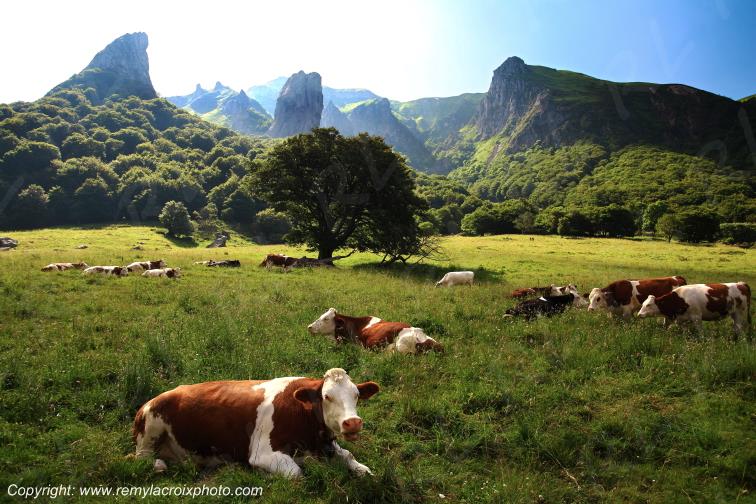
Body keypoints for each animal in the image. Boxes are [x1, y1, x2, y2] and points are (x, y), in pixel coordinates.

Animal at [132, 368, 379, 478]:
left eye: (357, 395)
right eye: (327, 396)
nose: (352, 422)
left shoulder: (327, 445)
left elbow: (349, 456)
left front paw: (362, 469)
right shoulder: (263, 453)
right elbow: (296, 473)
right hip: (150, 431)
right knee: (144, 459)